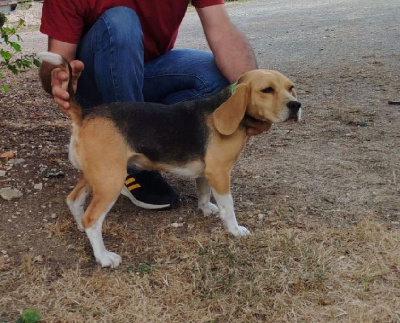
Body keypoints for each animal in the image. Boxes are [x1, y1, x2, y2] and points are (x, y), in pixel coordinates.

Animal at [38, 51, 300, 268]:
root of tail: (84, 114)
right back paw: (103, 257)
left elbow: (204, 192)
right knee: (92, 219)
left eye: (291, 87)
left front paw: (206, 209)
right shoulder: (219, 172)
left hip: (94, 175)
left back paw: (81, 229)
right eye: (267, 90)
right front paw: (234, 230)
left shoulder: (207, 172)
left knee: (74, 201)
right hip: (110, 180)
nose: (296, 105)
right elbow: (229, 206)